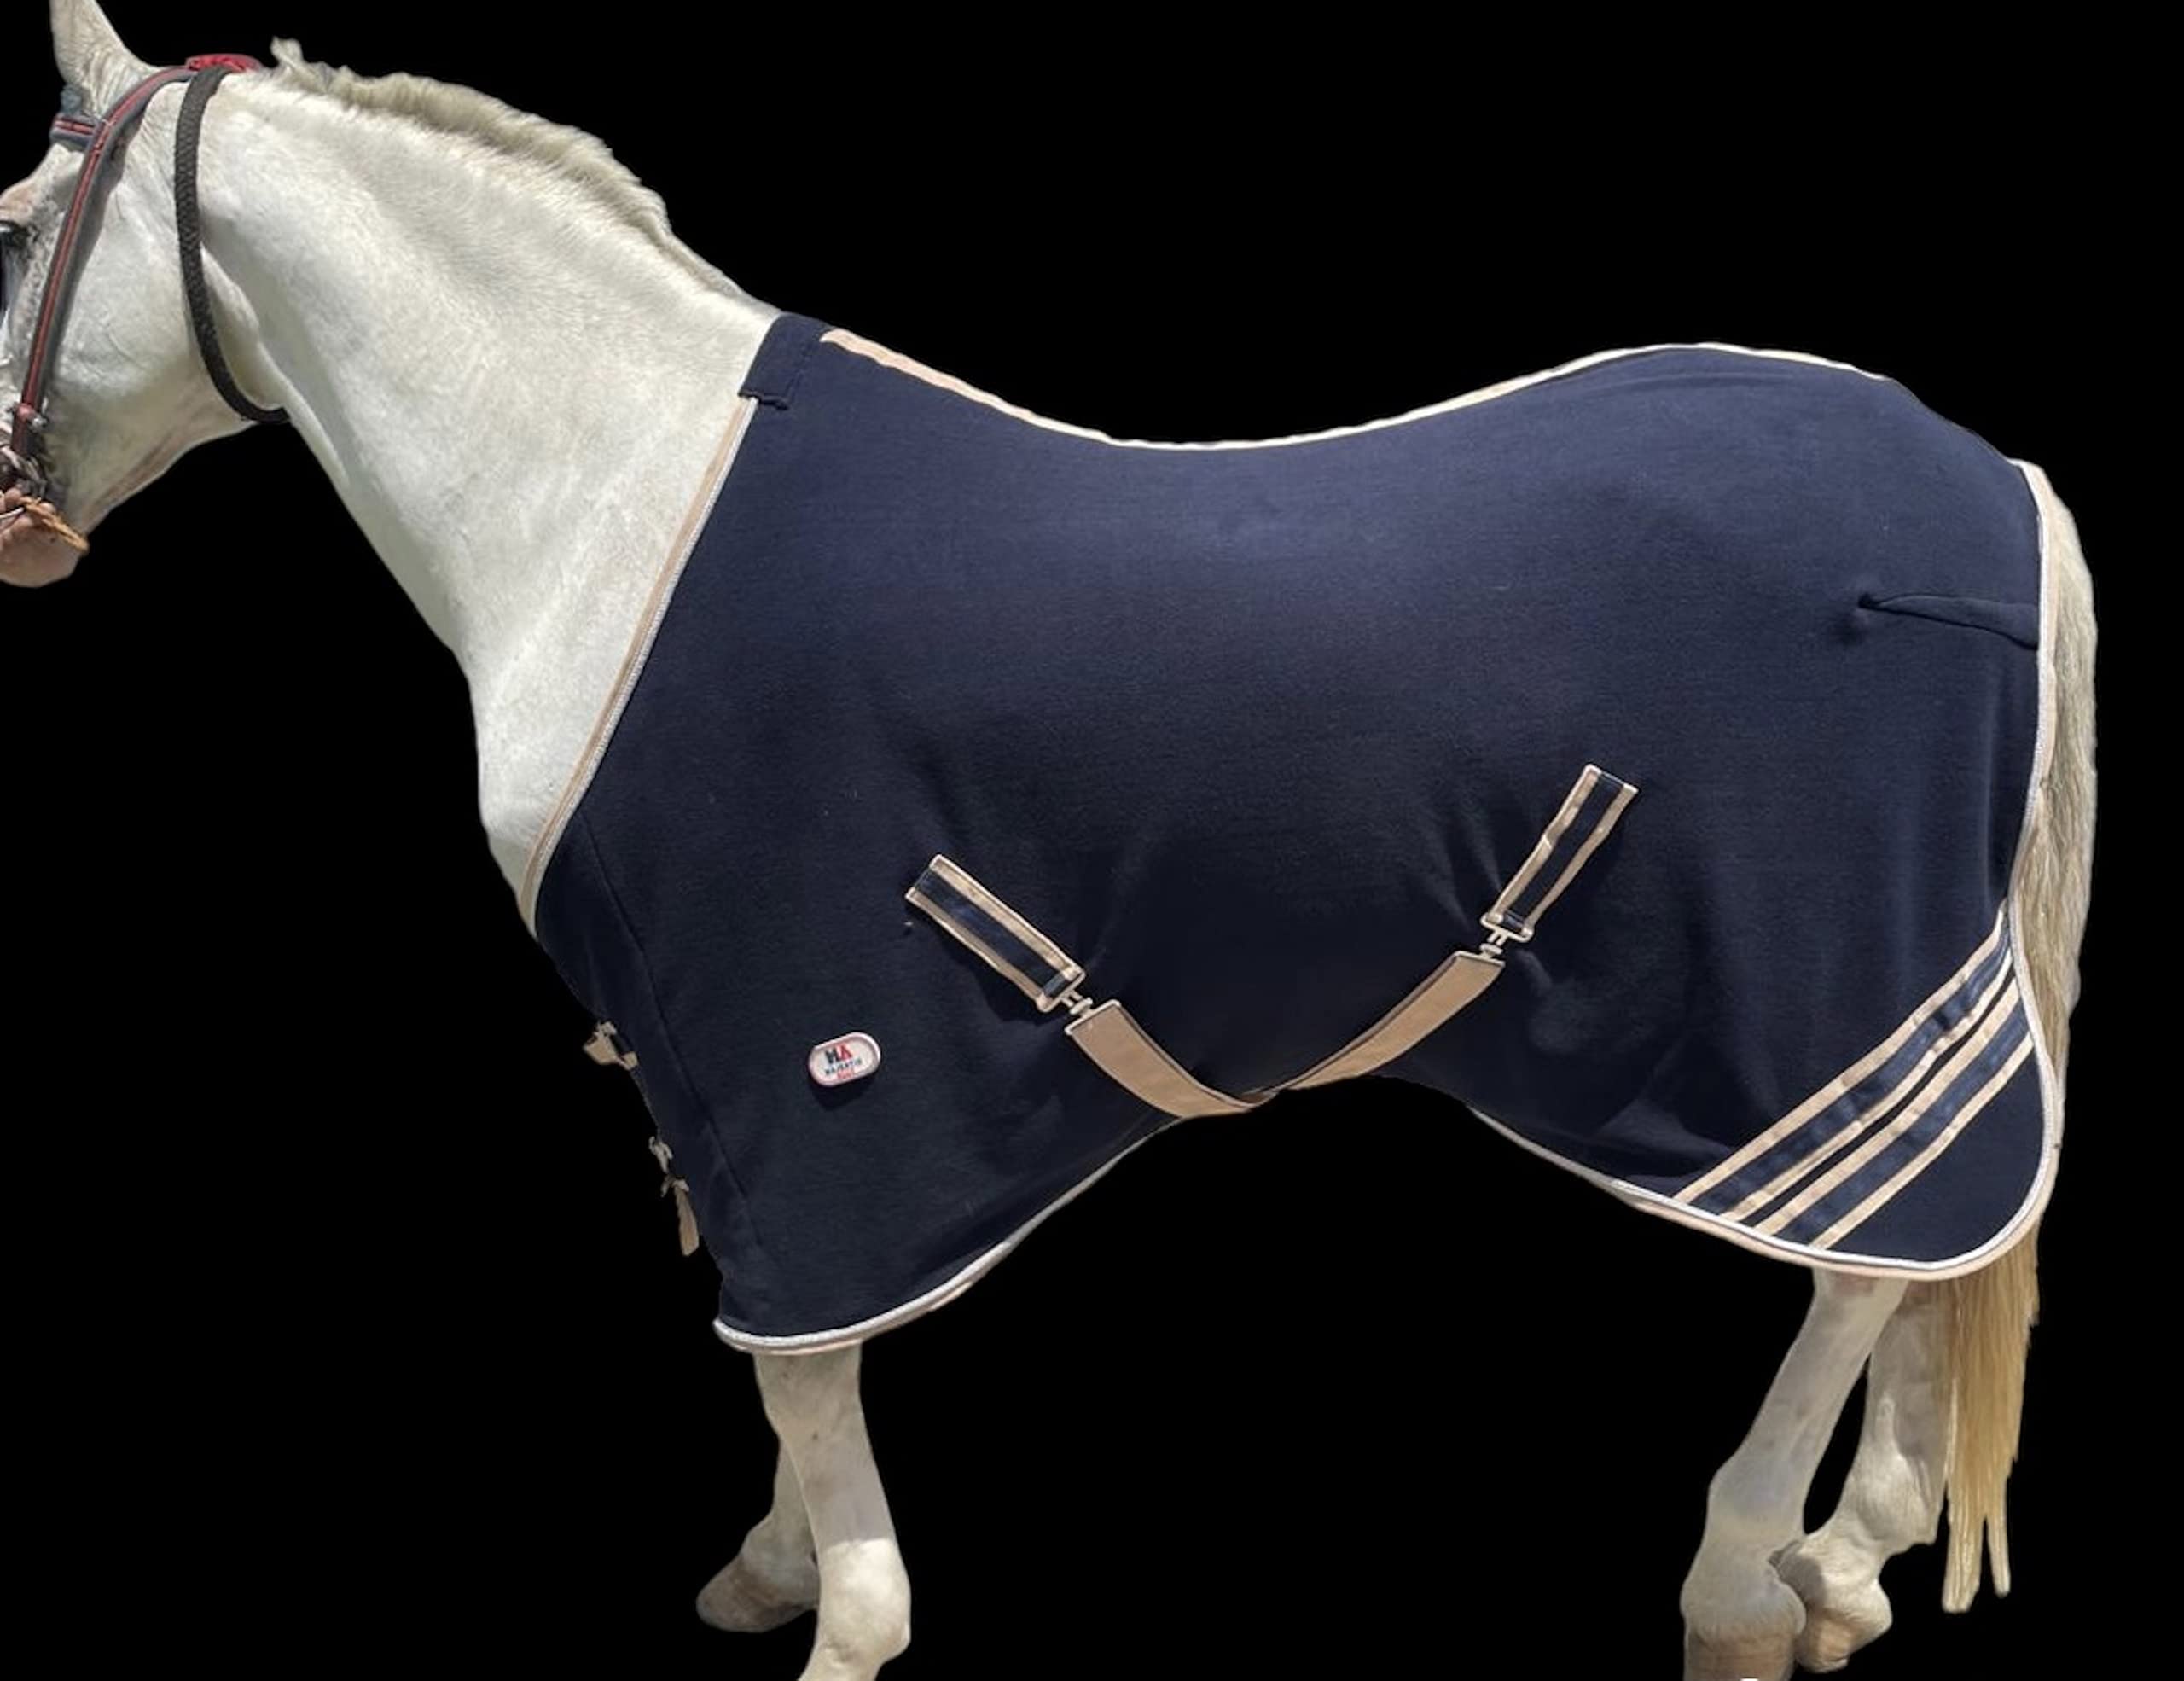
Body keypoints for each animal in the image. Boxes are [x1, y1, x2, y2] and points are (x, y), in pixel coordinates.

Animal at [1, 6, 2097, 1677]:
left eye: (17, 226)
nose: (15, 526)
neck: (614, 496)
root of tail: (1982, 475)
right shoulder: (721, 1058)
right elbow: (780, 1352)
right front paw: (775, 1568)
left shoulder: (793, 1039)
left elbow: (799, 1344)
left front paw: (845, 1620)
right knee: (1944, 1237)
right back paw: (1850, 1561)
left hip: (1809, 999)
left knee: (1860, 1259)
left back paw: (1746, 1586)